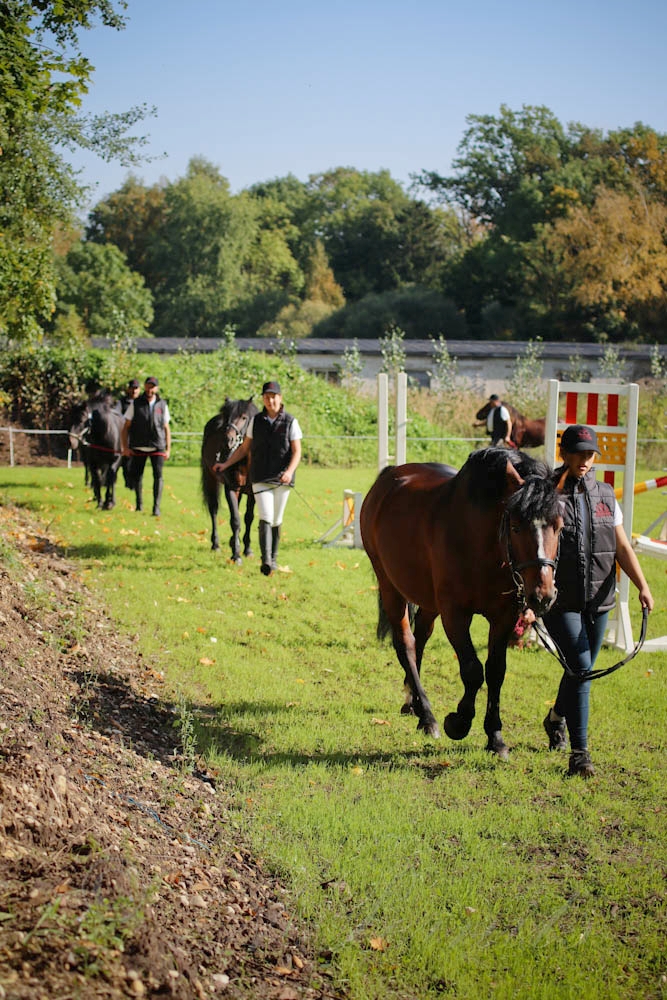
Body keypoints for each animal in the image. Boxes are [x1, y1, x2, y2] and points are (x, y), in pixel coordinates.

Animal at [201, 397, 259, 562]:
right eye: (227, 417)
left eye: (244, 417)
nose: (228, 440)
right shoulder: (230, 489)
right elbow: (235, 520)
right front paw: (236, 555)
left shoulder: (253, 493)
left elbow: (248, 518)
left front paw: (247, 549)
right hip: (210, 479)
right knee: (213, 509)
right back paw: (216, 544)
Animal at [360, 448, 563, 758]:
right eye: (516, 526)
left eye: (559, 526)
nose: (543, 594)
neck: (481, 544)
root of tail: (389, 476)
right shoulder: (455, 615)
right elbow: (472, 670)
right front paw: (459, 722)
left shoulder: (504, 617)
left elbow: (495, 671)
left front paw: (495, 736)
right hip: (390, 585)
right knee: (406, 645)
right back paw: (428, 716)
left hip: (428, 601)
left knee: (420, 639)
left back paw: (414, 704)